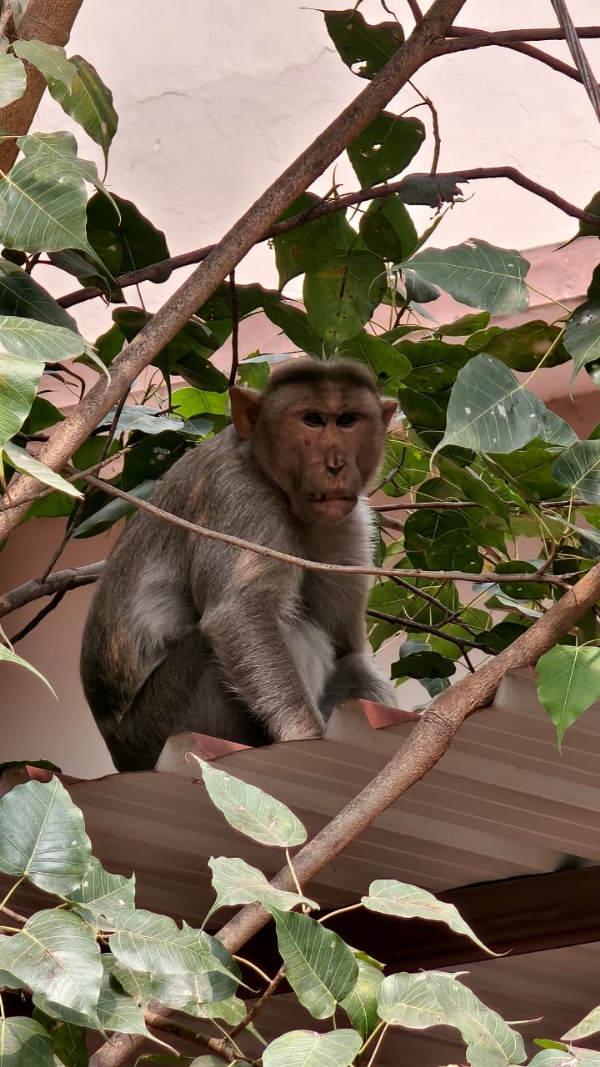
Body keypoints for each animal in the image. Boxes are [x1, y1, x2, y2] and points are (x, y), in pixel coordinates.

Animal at [80, 358, 398, 772]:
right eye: (312, 420)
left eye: (347, 420)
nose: (335, 464)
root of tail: (120, 753)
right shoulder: (238, 498)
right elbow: (240, 613)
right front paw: (303, 731)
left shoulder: (348, 522)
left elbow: (347, 649)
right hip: (167, 721)